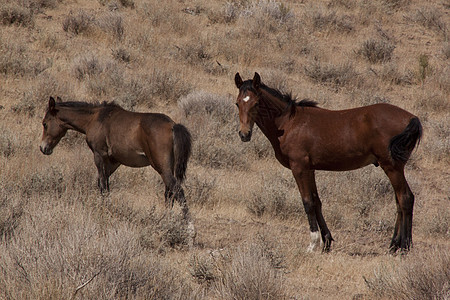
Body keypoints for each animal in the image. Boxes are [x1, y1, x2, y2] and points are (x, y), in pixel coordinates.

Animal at [40, 97, 192, 219]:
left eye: (45, 123)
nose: (43, 148)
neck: (95, 118)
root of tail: (173, 125)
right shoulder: (113, 162)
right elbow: (105, 185)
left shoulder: (99, 155)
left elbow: (102, 185)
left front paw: (103, 210)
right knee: (169, 193)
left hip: (162, 168)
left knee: (177, 191)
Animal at [236, 72, 422, 253]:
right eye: (237, 103)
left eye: (256, 103)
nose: (244, 134)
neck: (288, 123)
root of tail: (412, 118)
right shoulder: (310, 169)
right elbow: (317, 201)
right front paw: (326, 243)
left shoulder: (299, 168)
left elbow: (308, 202)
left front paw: (312, 245)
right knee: (398, 201)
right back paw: (393, 245)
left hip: (392, 167)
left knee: (405, 198)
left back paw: (405, 246)